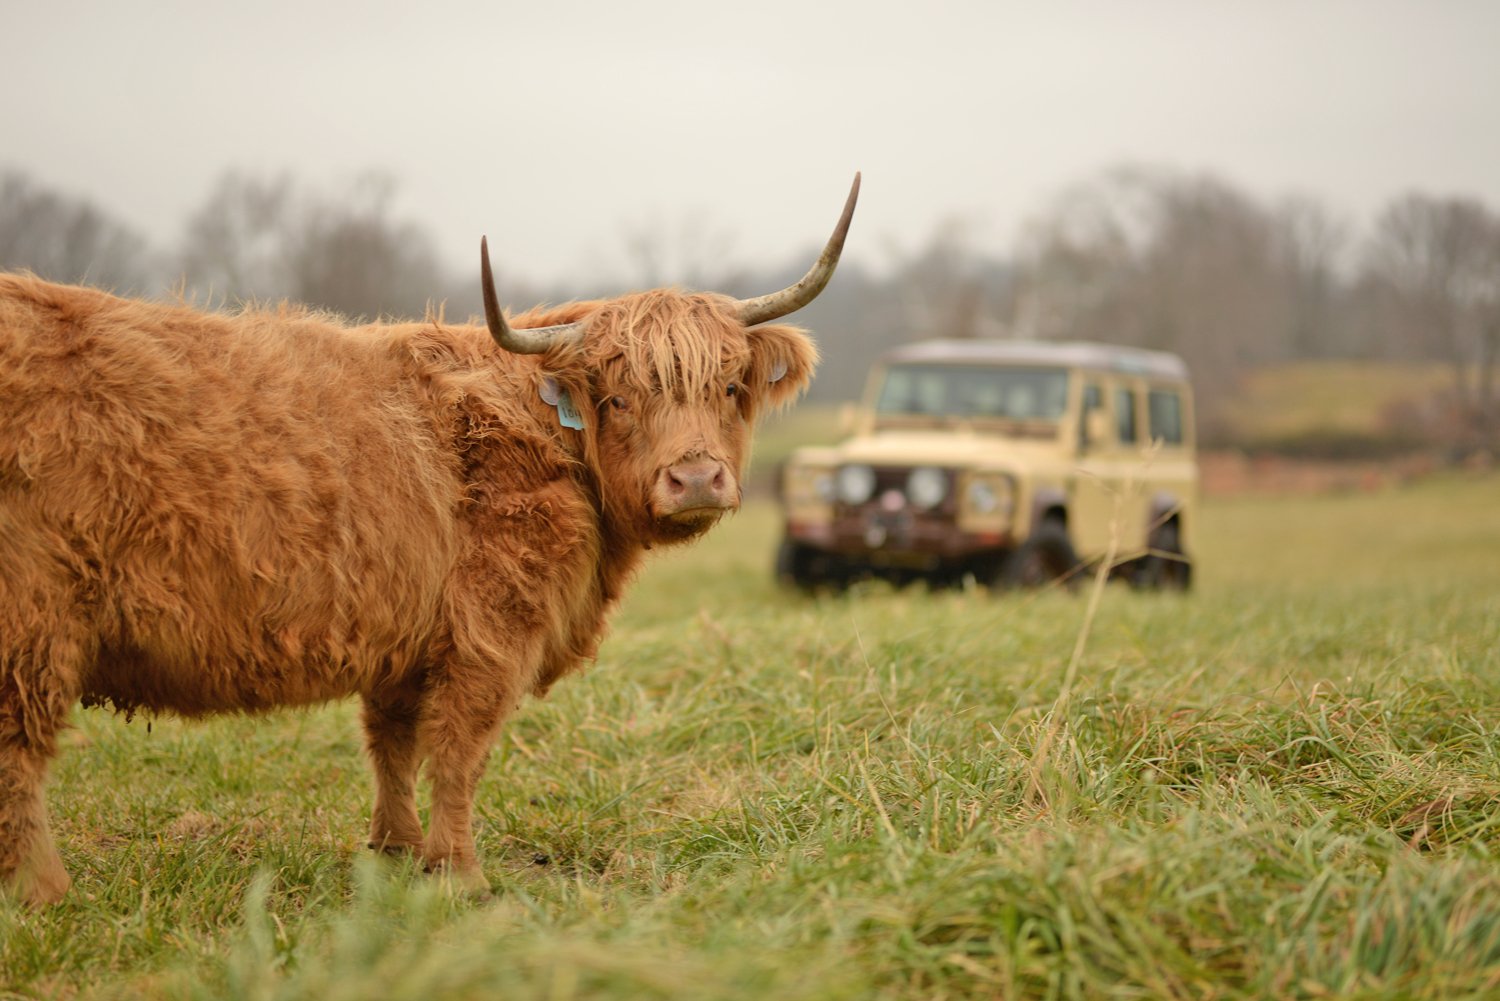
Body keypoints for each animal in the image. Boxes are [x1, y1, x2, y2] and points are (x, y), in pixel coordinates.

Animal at [0, 172, 864, 900]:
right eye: (617, 397)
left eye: (729, 386)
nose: (696, 478)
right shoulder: (490, 632)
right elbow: (458, 753)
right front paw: (461, 874)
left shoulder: (404, 636)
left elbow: (393, 744)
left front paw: (395, 851)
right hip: (34, 622)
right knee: (21, 747)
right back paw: (44, 891)